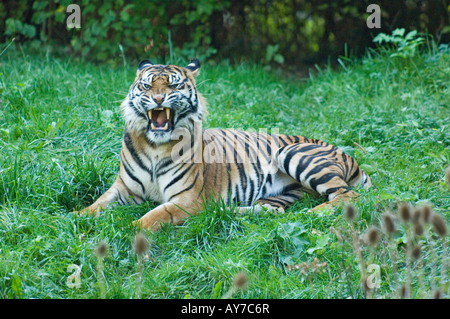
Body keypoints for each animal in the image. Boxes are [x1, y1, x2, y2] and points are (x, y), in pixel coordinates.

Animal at [76, 58, 372, 231]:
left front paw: (132, 227)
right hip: (283, 194)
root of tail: (348, 156)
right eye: (147, 86)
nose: (159, 99)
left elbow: (154, 215)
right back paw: (227, 211)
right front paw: (75, 217)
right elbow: (97, 204)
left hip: (294, 154)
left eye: (173, 86)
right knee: (270, 210)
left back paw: (314, 214)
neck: (155, 147)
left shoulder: (186, 198)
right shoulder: (123, 189)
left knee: (347, 196)